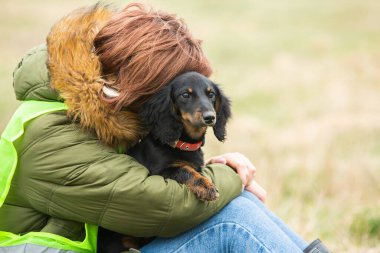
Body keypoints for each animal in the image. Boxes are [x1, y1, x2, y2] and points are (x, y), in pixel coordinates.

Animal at [127, 71, 232, 202]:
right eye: (185, 95)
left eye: (211, 94)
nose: (210, 117)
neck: (184, 145)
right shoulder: (160, 171)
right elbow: (185, 169)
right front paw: (206, 186)